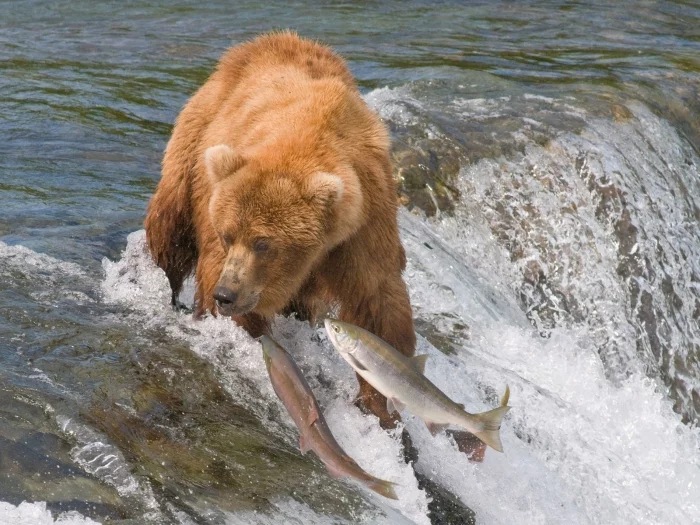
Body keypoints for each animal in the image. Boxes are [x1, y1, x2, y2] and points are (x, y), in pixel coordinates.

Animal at [144, 31, 416, 428]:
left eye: (263, 243)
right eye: (228, 235)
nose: (227, 294)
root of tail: (262, 40)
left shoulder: (363, 222)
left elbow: (376, 302)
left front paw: (382, 403)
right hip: (196, 142)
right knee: (170, 228)